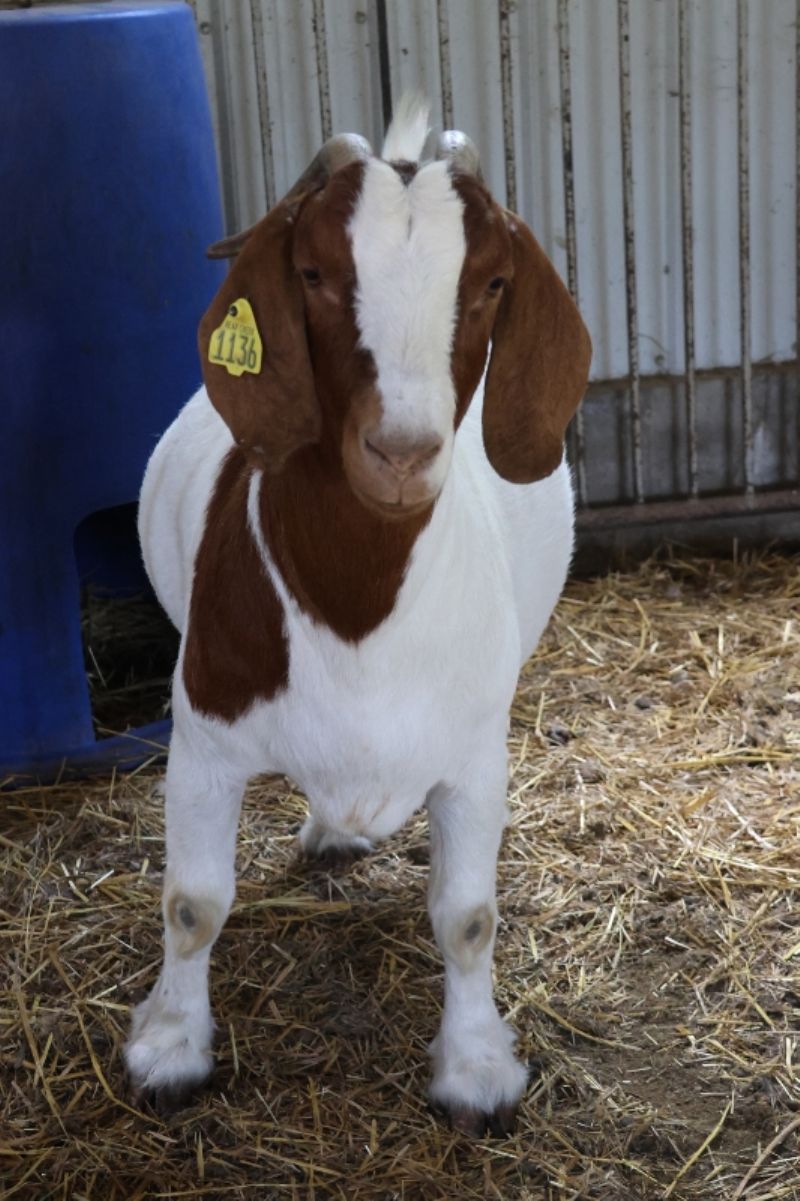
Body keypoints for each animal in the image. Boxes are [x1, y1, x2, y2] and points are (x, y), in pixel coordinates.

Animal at [123, 96, 586, 1133]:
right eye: (312, 273)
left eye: (493, 280)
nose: (401, 451)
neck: (356, 607)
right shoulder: (202, 734)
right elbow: (193, 902)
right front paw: (169, 1045)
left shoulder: (474, 753)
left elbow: (468, 917)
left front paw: (476, 1069)